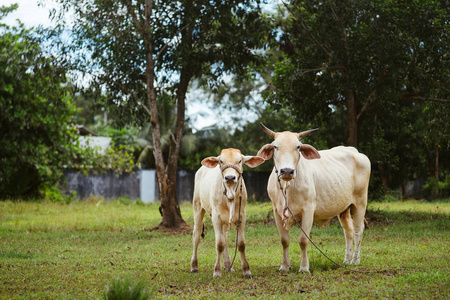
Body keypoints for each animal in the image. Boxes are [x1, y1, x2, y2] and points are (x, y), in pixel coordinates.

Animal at [189, 148, 264, 278]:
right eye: (221, 161)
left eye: (239, 161)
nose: (230, 177)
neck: (230, 193)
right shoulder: (216, 217)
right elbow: (219, 244)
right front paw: (217, 271)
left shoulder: (242, 216)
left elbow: (241, 244)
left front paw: (246, 270)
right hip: (197, 206)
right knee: (196, 235)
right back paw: (194, 266)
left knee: (225, 237)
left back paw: (228, 265)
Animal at [255, 123, 370, 274]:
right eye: (275, 146)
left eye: (298, 146)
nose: (286, 171)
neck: (288, 187)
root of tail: (355, 151)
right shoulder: (277, 211)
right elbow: (284, 240)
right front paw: (285, 266)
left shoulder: (308, 210)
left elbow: (303, 240)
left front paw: (304, 268)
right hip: (343, 208)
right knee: (348, 231)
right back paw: (346, 260)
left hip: (360, 202)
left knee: (358, 230)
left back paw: (355, 260)